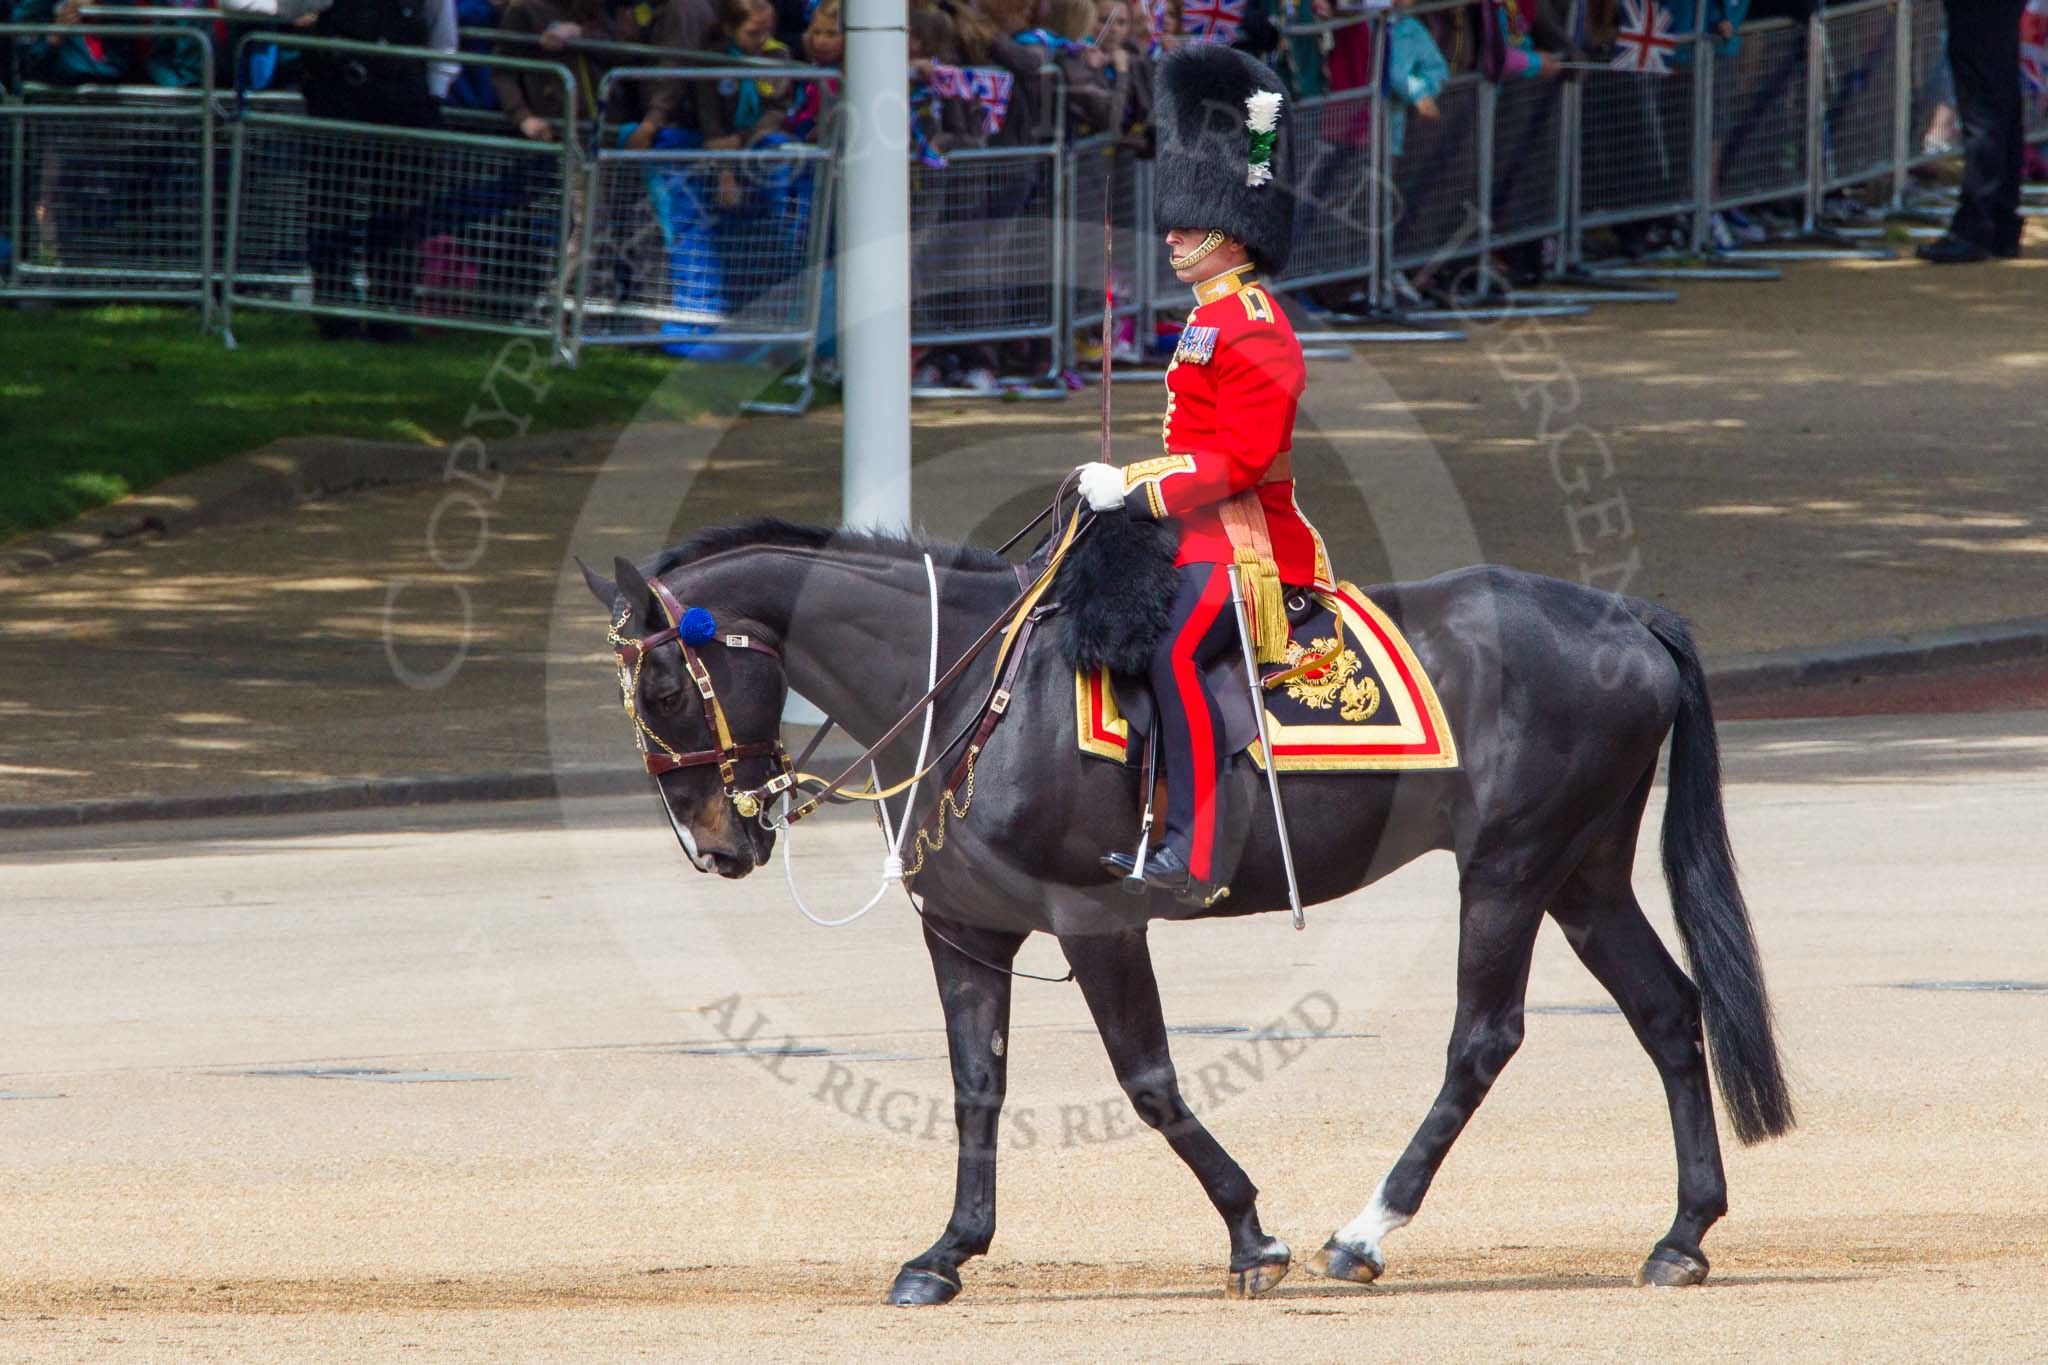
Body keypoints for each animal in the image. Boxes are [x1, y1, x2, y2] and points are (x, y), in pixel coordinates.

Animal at [577, 515, 1795, 1305]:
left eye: (665, 687)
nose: (716, 843)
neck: (970, 692)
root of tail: (1624, 615)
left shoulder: (1099, 922)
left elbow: (1149, 1080)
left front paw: (1251, 1234)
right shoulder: (964, 929)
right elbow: (976, 1088)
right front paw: (947, 1251)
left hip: (1506, 869)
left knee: (1483, 1038)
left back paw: (1365, 1231)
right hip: (1580, 874)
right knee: (1666, 1012)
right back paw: (1682, 1233)